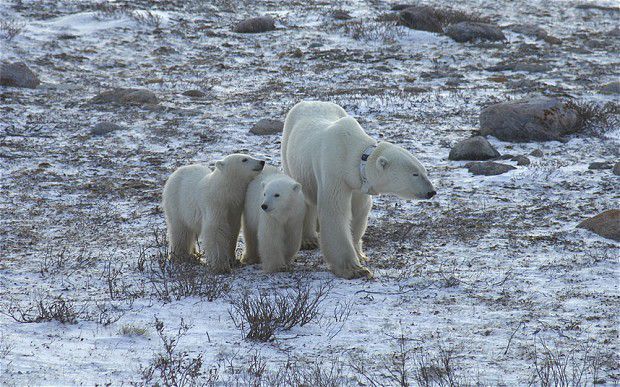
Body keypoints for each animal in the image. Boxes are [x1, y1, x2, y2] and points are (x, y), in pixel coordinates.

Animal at [280, 101, 436, 280]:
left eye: (424, 171)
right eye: (415, 174)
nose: (431, 192)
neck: (352, 152)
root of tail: (309, 102)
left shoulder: (358, 184)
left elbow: (358, 211)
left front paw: (360, 254)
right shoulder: (334, 172)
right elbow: (335, 212)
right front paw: (354, 269)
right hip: (288, 151)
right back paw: (308, 240)